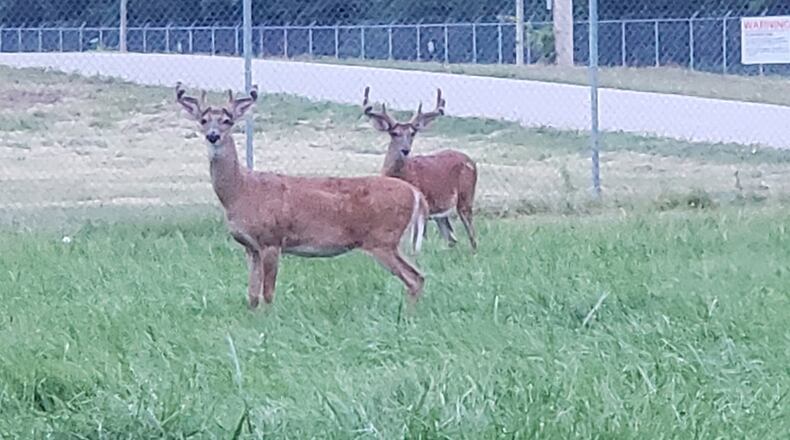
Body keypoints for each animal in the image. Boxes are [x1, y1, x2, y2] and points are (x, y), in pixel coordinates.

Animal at [175, 82, 429, 309]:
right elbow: (252, 295)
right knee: (418, 276)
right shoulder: (250, 247)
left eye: (227, 121)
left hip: (383, 239)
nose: (213, 136)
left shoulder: (271, 239)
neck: (241, 191)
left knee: (415, 277)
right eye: (203, 120)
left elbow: (268, 293)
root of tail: (415, 193)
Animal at [362, 86, 478, 251]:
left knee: (471, 234)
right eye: (394, 133)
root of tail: (471, 161)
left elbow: (417, 239)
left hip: (465, 197)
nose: (405, 150)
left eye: (412, 133)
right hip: (441, 212)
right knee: (451, 238)